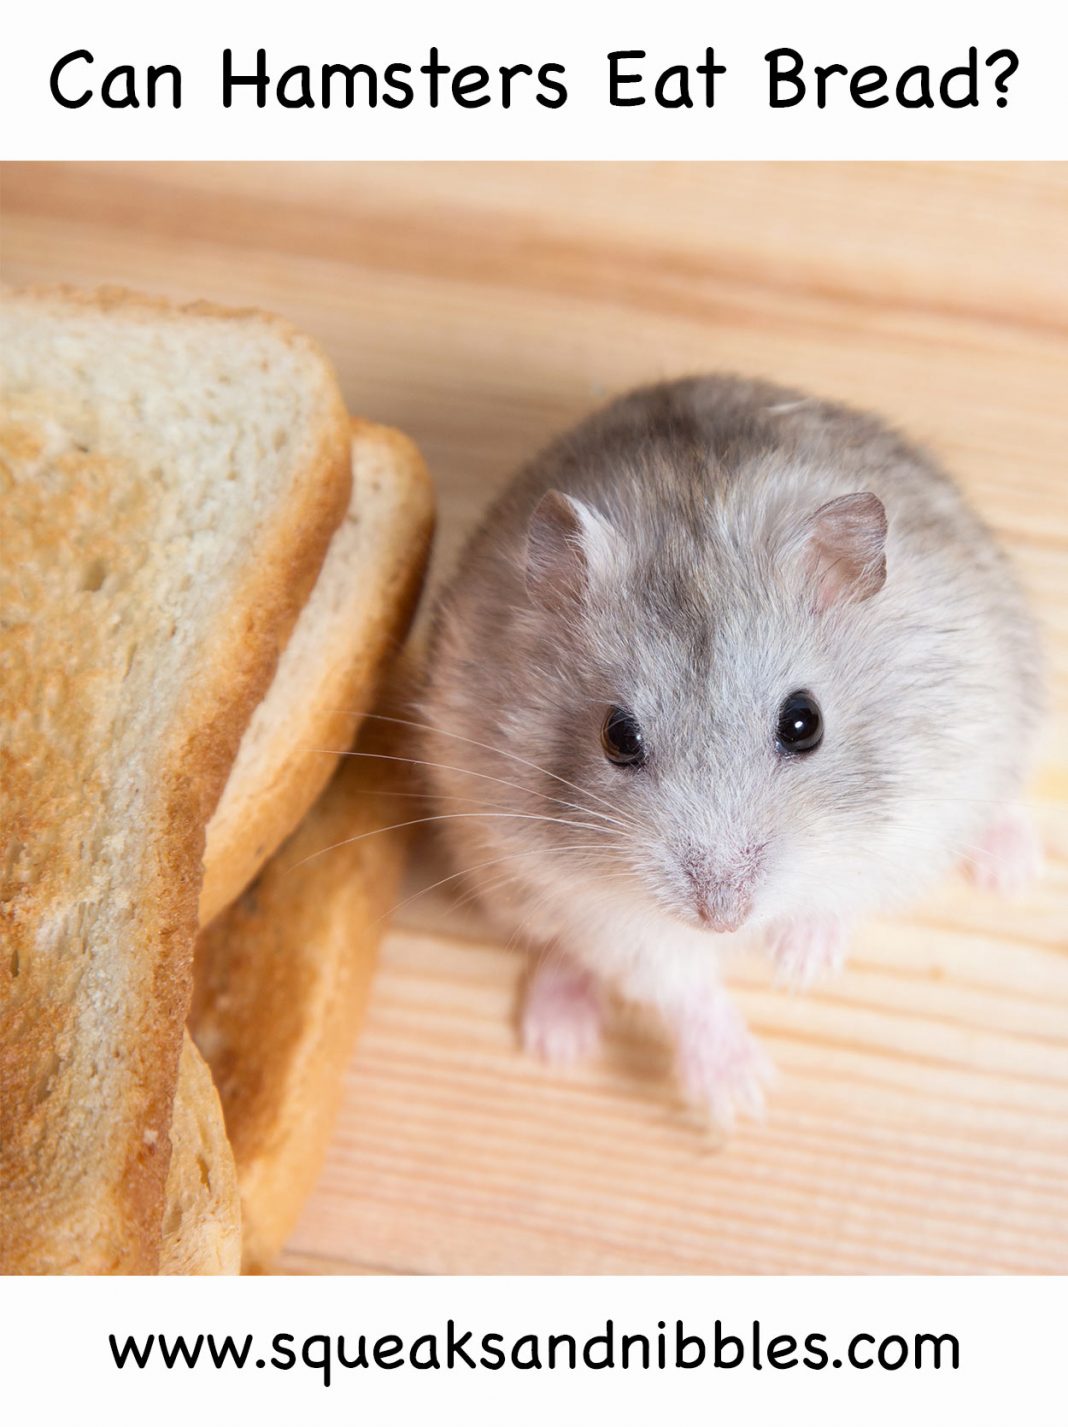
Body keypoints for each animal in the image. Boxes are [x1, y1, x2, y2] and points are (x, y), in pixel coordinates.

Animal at [420, 376, 1043, 1125]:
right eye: (617, 737)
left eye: (804, 723)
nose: (724, 919)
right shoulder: (585, 900)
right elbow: (673, 981)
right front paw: (741, 1100)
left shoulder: (925, 809)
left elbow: (844, 894)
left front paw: (798, 965)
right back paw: (557, 1036)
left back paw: (1012, 868)